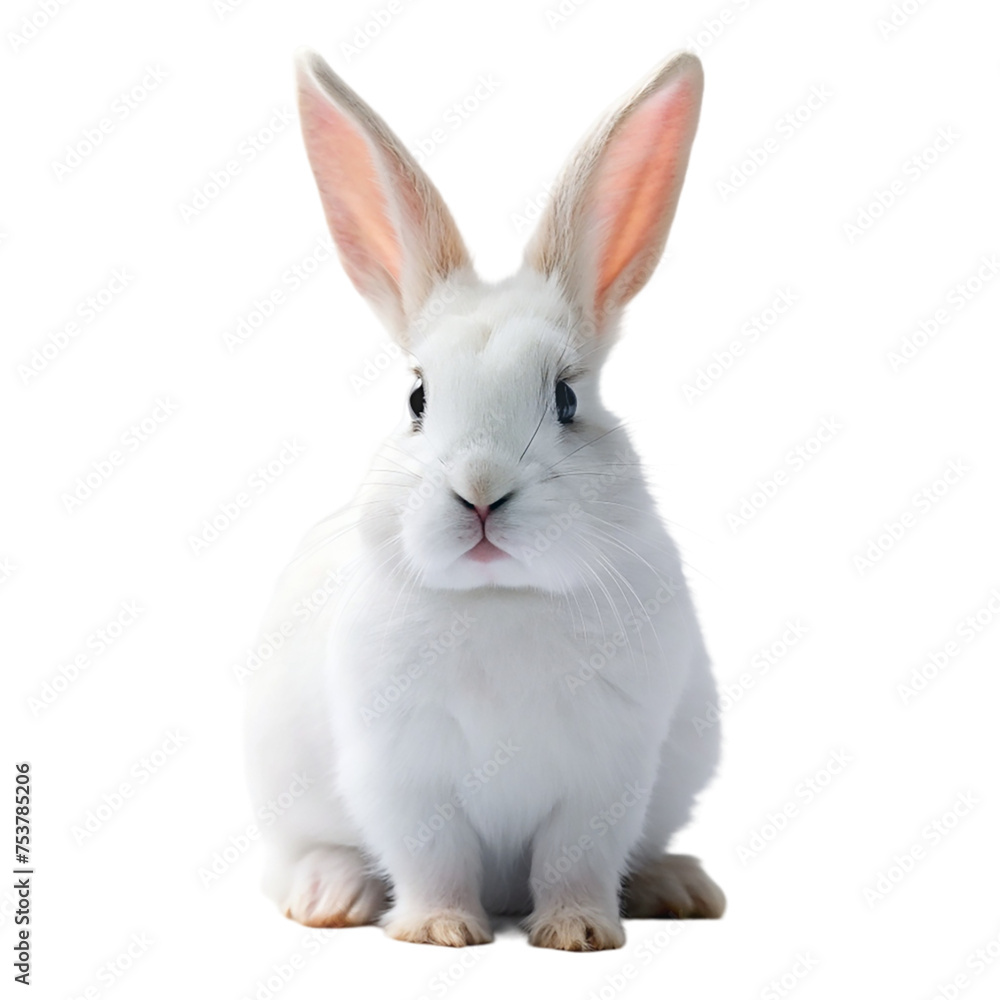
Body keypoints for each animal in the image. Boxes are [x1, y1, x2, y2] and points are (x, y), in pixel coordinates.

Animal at [244, 47, 726, 951]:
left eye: (566, 399)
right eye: (417, 398)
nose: (480, 493)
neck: (500, 597)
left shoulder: (604, 778)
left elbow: (575, 861)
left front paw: (578, 934)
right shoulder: (403, 777)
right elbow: (431, 857)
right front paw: (437, 931)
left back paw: (678, 886)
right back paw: (330, 896)